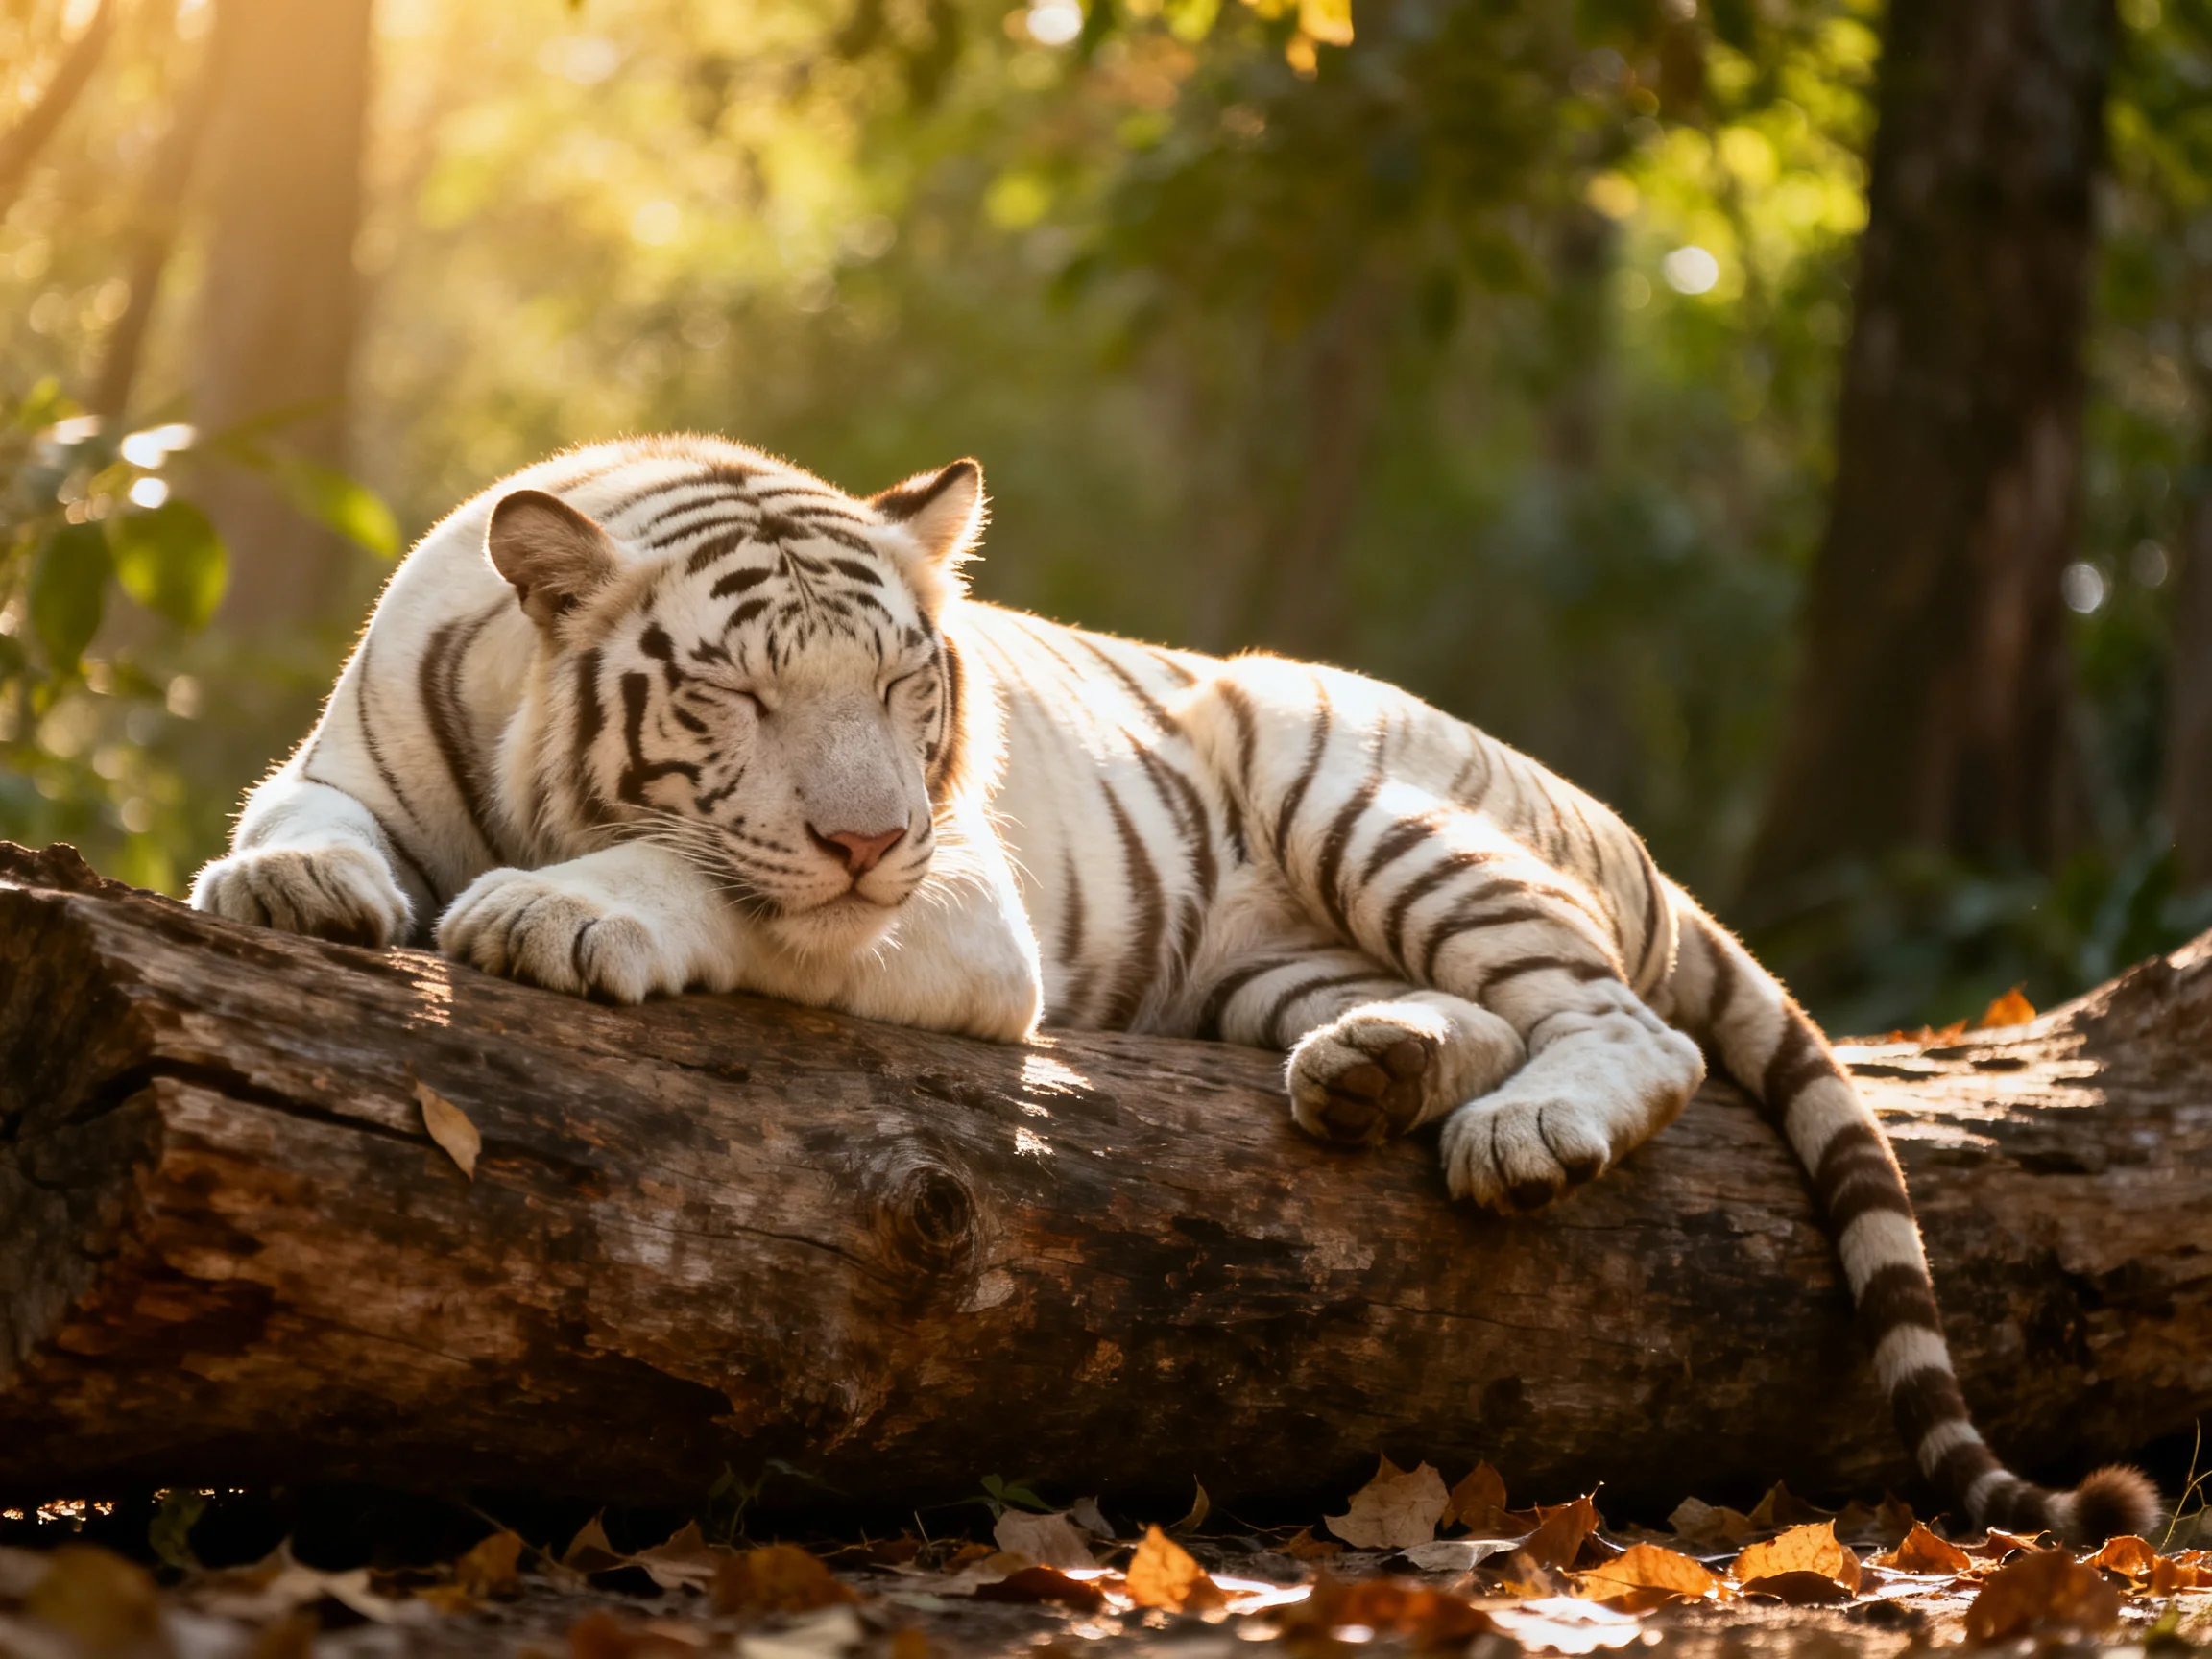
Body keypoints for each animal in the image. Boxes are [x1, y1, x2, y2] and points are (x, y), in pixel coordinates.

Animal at [191, 433, 2155, 1543]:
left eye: (904, 687)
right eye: (735, 693)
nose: (867, 832)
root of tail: (1624, 831)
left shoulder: (955, 902)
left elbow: (706, 878)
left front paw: (558, 913)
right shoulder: (353, 746)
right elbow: (298, 811)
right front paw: (290, 882)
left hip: (1351, 786)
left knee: (1627, 1024)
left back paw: (1522, 1131)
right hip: (1267, 951)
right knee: (1455, 1011)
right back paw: (1372, 1068)